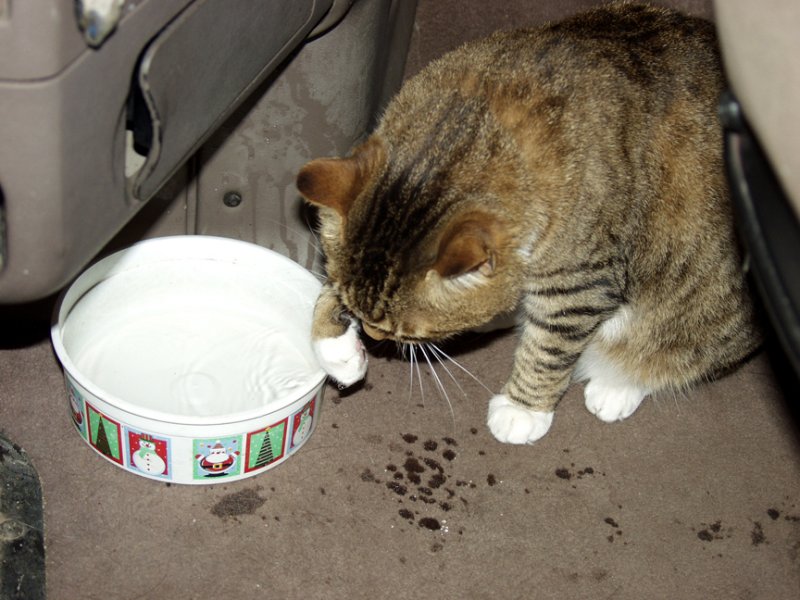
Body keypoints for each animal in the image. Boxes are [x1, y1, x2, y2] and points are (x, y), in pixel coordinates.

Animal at [296, 3, 760, 446]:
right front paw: (335, 346)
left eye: (407, 333)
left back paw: (617, 385)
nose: (374, 337)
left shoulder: (580, 281)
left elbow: (549, 347)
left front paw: (523, 410)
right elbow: (328, 291)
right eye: (362, 320)